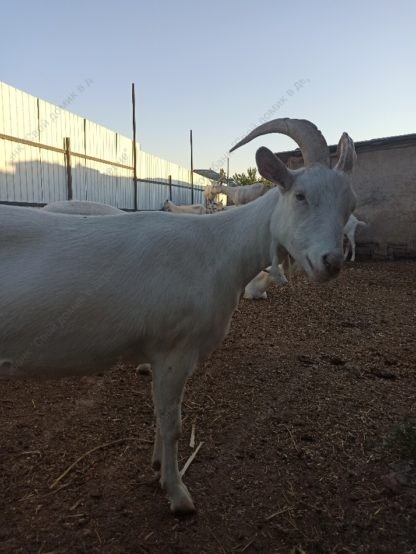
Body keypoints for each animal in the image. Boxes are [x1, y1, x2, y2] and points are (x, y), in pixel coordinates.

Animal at [0, 116, 356, 512]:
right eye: (300, 196)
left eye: (350, 204)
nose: (331, 262)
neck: (218, 248)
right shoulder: (176, 349)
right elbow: (173, 424)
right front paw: (178, 494)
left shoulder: (158, 353)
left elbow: (160, 416)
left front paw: (158, 465)